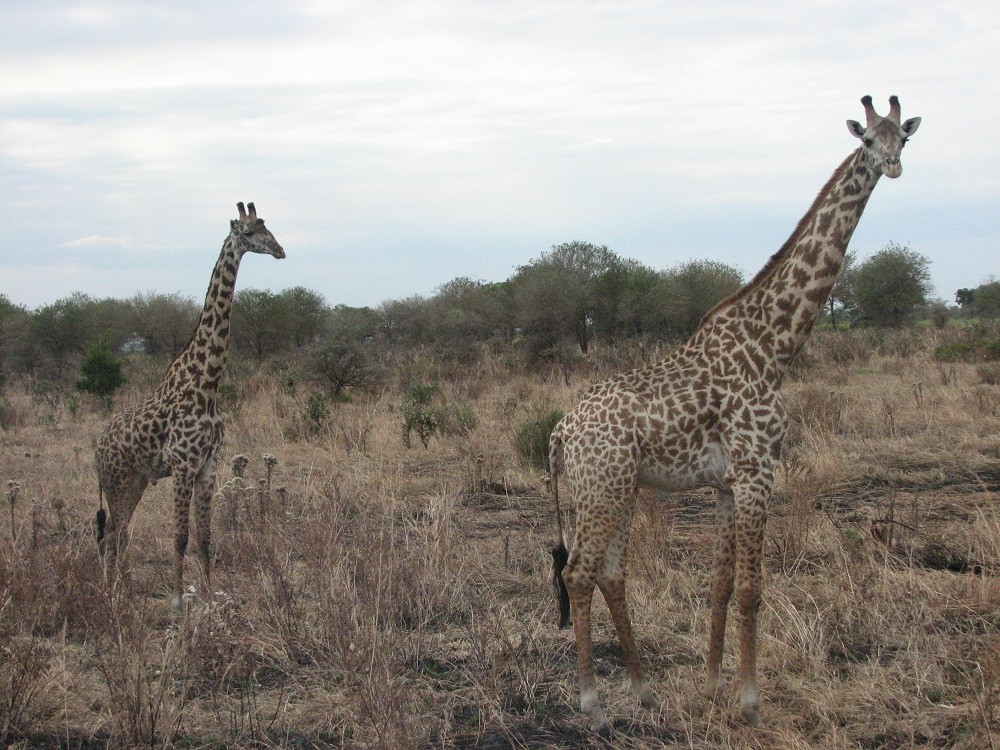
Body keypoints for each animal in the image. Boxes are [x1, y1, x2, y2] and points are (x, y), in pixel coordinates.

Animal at [94, 201, 286, 612]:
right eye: (249, 233)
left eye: (268, 227)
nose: (280, 251)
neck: (206, 385)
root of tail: (96, 447)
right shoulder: (183, 466)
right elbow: (180, 537)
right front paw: (178, 601)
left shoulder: (208, 467)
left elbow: (205, 537)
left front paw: (211, 597)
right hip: (116, 479)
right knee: (111, 534)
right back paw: (111, 594)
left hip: (135, 479)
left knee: (120, 531)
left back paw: (125, 592)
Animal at [548, 94, 920, 728]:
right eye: (869, 139)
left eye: (906, 137)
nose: (893, 167)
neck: (775, 346)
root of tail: (560, 432)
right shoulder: (757, 472)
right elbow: (751, 587)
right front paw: (750, 701)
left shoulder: (727, 484)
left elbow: (720, 584)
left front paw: (712, 684)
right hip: (600, 488)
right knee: (578, 573)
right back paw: (593, 704)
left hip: (616, 488)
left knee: (610, 575)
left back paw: (644, 691)